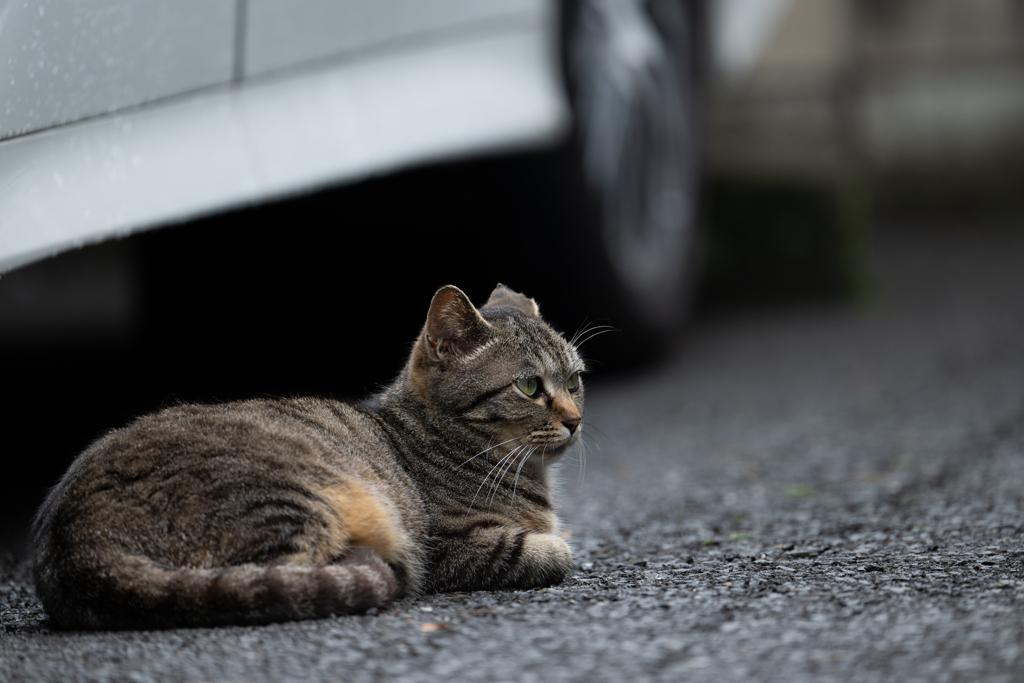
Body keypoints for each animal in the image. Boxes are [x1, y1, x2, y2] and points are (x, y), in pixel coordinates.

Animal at [29, 282, 585, 630]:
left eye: (576, 380)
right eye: (530, 386)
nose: (576, 418)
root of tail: (69, 546)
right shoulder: (451, 544)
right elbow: (548, 552)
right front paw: (554, 547)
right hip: (292, 500)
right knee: (282, 582)